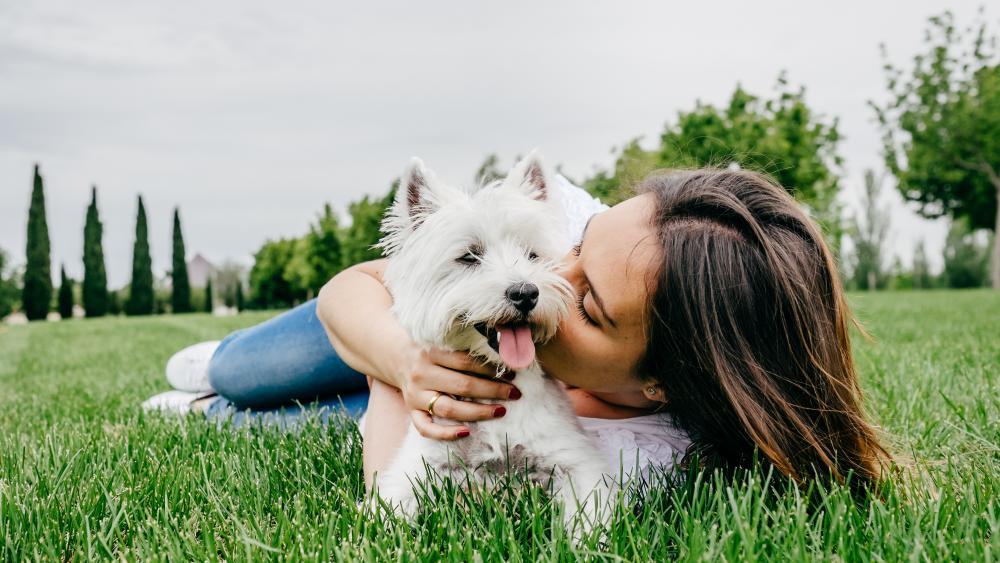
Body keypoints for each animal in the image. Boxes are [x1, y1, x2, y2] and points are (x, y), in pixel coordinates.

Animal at [374, 152, 608, 536]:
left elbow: (589, 514)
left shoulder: (574, 460)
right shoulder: (419, 465)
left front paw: (585, 541)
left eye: (532, 254)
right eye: (469, 257)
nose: (525, 293)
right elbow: (386, 511)